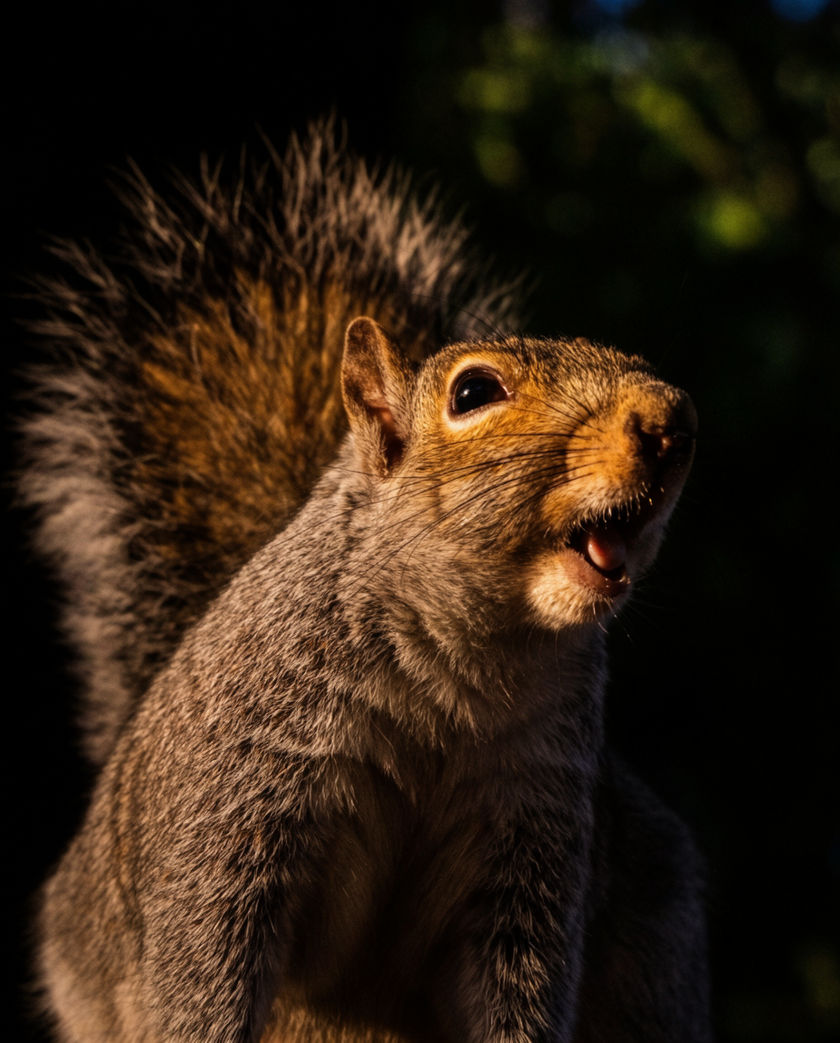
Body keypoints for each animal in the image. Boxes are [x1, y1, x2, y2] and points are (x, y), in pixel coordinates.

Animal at [22, 122, 711, 1042]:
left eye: (634, 356)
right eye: (474, 391)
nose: (674, 424)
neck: (468, 657)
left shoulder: (530, 838)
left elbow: (519, 988)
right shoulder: (238, 801)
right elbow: (209, 959)